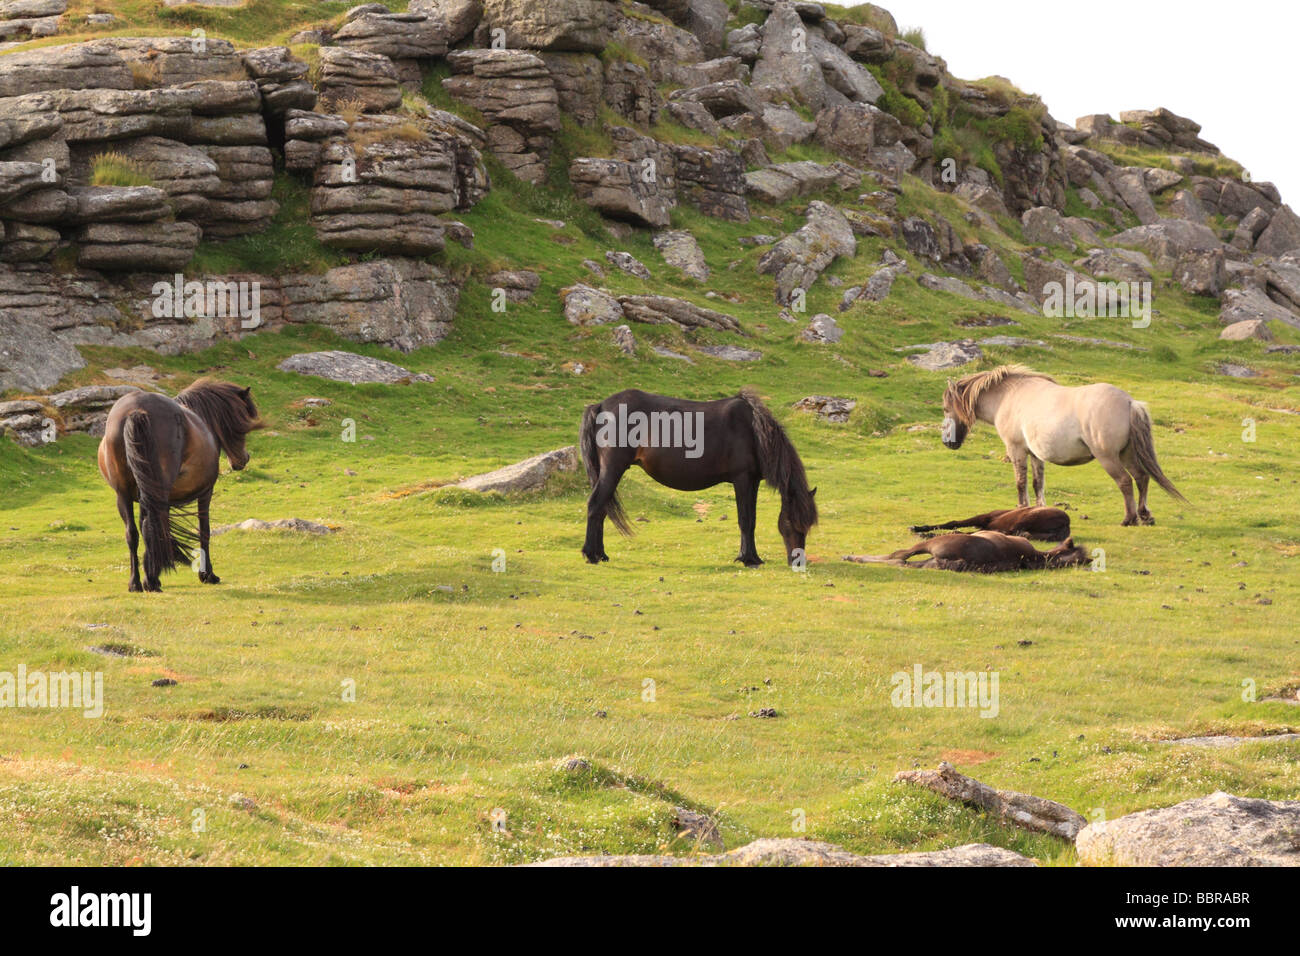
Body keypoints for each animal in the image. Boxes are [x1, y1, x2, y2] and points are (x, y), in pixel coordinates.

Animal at [97, 379, 263, 592]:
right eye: (242, 419)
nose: (244, 458)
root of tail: (136, 410)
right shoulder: (206, 492)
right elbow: (204, 530)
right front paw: (207, 574)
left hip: (124, 495)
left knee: (133, 532)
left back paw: (136, 582)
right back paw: (151, 581)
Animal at [580, 388, 817, 566]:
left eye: (807, 526)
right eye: (792, 522)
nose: (798, 562)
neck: (753, 430)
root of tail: (600, 406)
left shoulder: (753, 482)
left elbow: (752, 521)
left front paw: (752, 557)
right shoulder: (742, 479)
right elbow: (745, 519)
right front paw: (748, 559)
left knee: (602, 510)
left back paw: (601, 555)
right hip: (613, 469)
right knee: (595, 505)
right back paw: (591, 555)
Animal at [940, 365, 1186, 526]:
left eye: (945, 408)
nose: (947, 442)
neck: (1008, 396)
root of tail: (1129, 402)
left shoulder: (1016, 449)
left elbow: (1021, 482)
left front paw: (1020, 508)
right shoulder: (1035, 454)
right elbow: (1037, 483)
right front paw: (1037, 509)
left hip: (1108, 457)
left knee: (1125, 481)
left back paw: (1129, 518)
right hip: (1126, 454)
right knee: (1141, 477)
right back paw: (1145, 516)